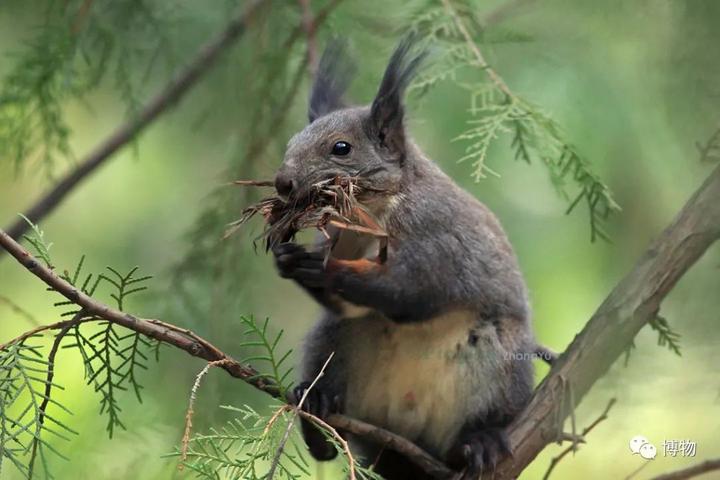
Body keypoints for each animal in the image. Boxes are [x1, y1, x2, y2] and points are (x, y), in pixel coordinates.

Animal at [268, 37, 536, 480]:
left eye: (341, 148)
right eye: (290, 143)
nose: (283, 182)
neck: (377, 210)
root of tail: (409, 431)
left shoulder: (439, 242)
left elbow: (411, 293)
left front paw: (327, 271)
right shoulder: (343, 236)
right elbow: (350, 303)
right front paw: (288, 258)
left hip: (502, 363)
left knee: (489, 416)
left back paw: (481, 439)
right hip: (335, 344)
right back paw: (318, 406)